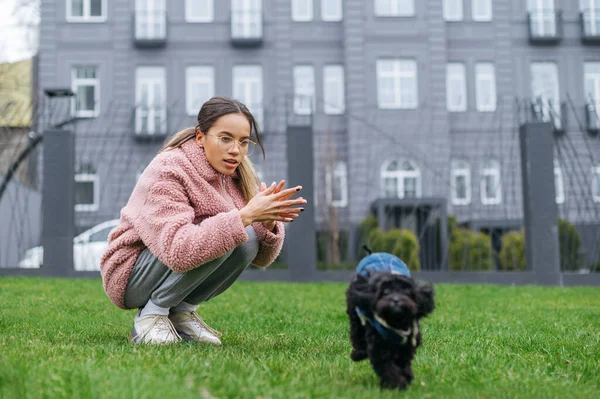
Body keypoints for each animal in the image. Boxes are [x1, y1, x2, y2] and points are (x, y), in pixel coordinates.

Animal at [344, 248, 434, 392]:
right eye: (385, 291)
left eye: (407, 292)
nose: (396, 300)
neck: (395, 322)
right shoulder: (378, 345)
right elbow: (386, 365)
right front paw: (396, 383)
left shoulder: (407, 345)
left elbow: (403, 362)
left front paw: (405, 377)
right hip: (355, 313)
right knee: (356, 334)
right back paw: (358, 353)